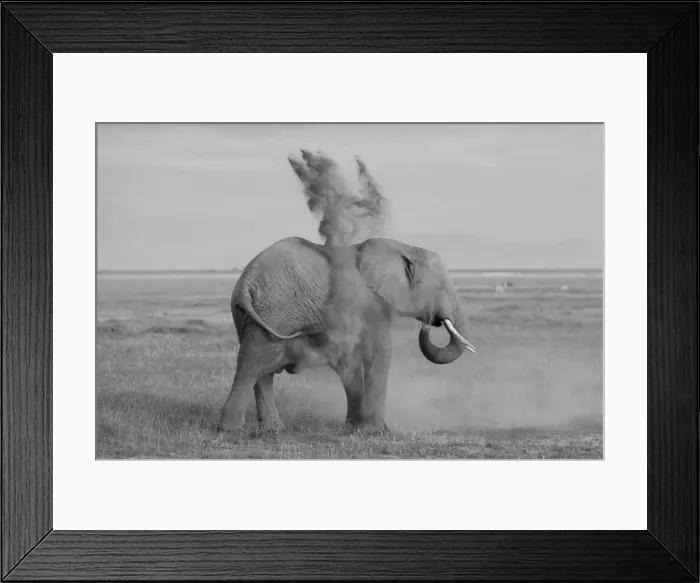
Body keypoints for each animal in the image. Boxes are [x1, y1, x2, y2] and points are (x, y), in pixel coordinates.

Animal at [216, 236, 476, 432]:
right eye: (440, 288)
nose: (429, 325)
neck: (403, 247)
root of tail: (245, 284)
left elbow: (348, 364)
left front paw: (354, 427)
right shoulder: (368, 305)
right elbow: (378, 355)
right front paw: (377, 431)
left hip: (252, 317)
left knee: (262, 369)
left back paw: (273, 429)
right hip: (274, 313)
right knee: (253, 364)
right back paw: (230, 429)